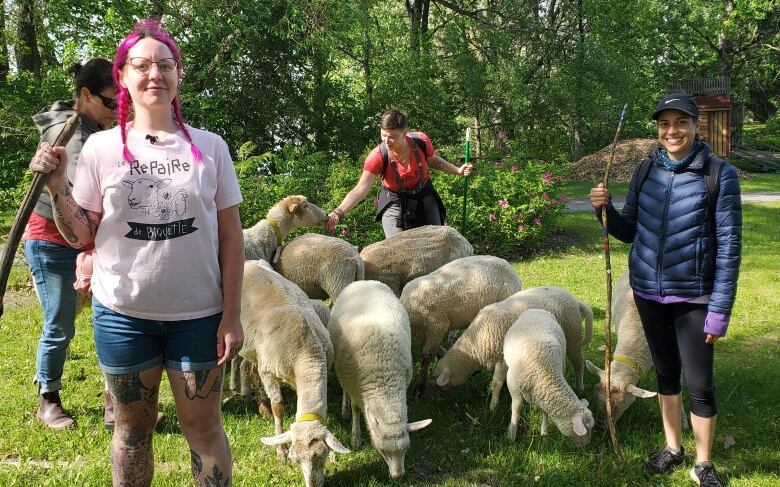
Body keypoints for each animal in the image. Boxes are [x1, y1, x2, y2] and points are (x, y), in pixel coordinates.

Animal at [238, 262, 348, 486]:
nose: (312, 485)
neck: (307, 351)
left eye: (322, 455)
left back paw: (261, 407)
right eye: (295, 459)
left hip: (254, 349)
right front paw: (280, 451)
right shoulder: (268, 371)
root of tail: (248, 263)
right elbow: (278, 407)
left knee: (250, 368)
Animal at [326, 282, 430, 480]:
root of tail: (364, 282)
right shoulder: (354, 385)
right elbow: (356, 409)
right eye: (383, 451)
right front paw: (356, 437)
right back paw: (344, 409)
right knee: (345, 393)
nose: (398, 477)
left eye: (407, 449)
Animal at [436, 286, 596, 412]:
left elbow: (496, 383)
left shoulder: (502, 359)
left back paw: (580, 388)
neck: (476, 342)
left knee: (578, 363)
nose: (441, 394)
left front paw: (493, 407)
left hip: (573, 335)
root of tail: (575, 300)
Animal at [502, 310, 596, 448]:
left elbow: (545, 412)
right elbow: (516, 411)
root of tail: (537, 310)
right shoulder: (514, 389)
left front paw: (544, 431)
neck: (545, 372)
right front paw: (511, 436)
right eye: (586, 430)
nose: (587, 445)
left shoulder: (543, 393)